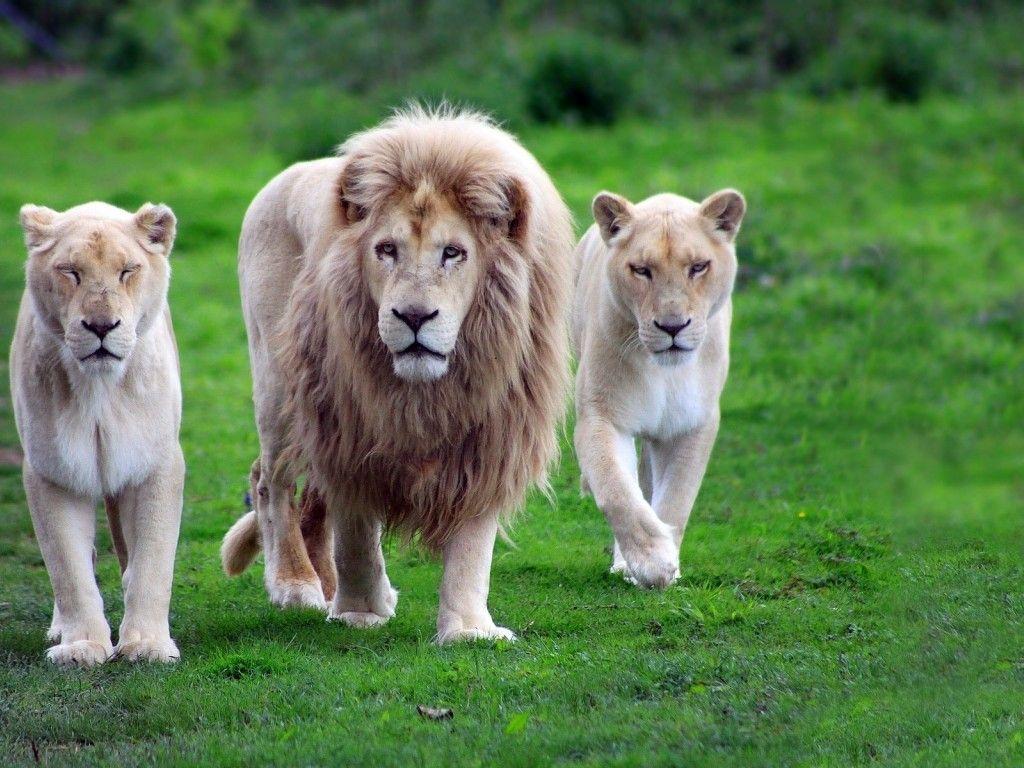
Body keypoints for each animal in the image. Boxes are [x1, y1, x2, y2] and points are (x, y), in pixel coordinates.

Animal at [11, 201, 184, 666]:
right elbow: (68, 567)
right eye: (70, 272)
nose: (102, 326)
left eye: (127, 270)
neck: (99, 389)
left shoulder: (155, 464)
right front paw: (82, 646)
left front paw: (147, 645)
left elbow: (152, 561)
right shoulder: (52, 470)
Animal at [220, 107, 573, 642]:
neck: (427, 392)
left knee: (311, 501)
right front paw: (360, 613)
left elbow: (472, 545)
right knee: (271, 482)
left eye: (453, 252)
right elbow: (356, 534)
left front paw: (468, 630)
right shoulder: (348, 429)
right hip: (280, 387)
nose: (413, 316)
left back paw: (329, 585)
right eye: (386, 250)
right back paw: (296, 584)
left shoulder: (492, 436)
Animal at [572, 189, 745, 588]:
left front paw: (667, 564)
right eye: (641, 270)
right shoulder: (601, 416)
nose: (672, 326)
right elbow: (617, 491)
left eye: (698, 267)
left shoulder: (693, 424)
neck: (664, 372)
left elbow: (677, 498)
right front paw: (652, 561)